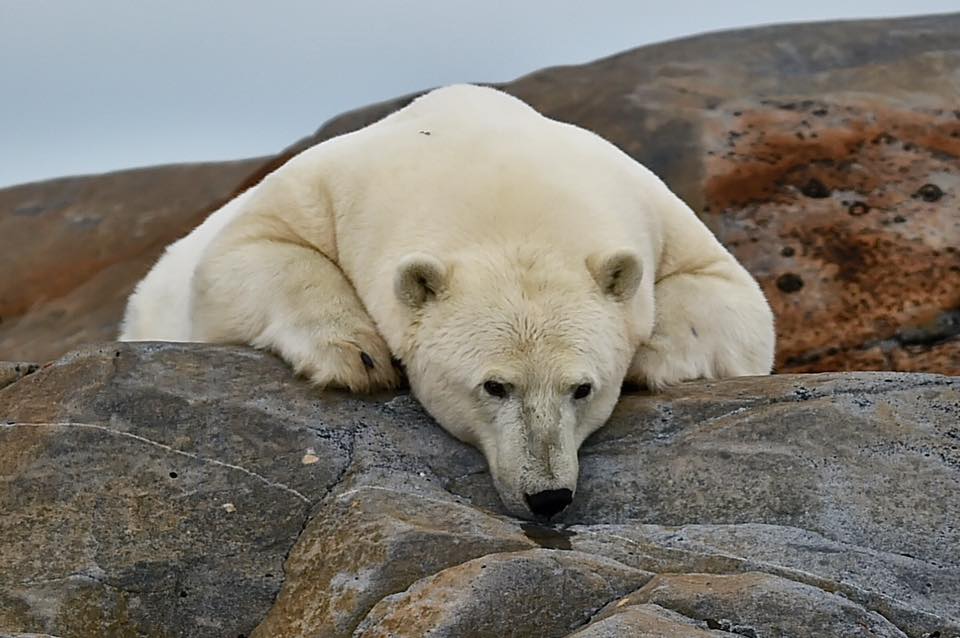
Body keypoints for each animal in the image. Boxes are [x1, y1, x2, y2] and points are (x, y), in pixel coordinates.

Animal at [121, 85, 775, 520]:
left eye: (583, 388)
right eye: (495, 386)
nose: (547, 496)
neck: (499, 184)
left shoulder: (653, 209)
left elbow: (735, 296)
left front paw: (649, 356)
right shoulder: (330, 191)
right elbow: (243, 253)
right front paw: (357, 354)